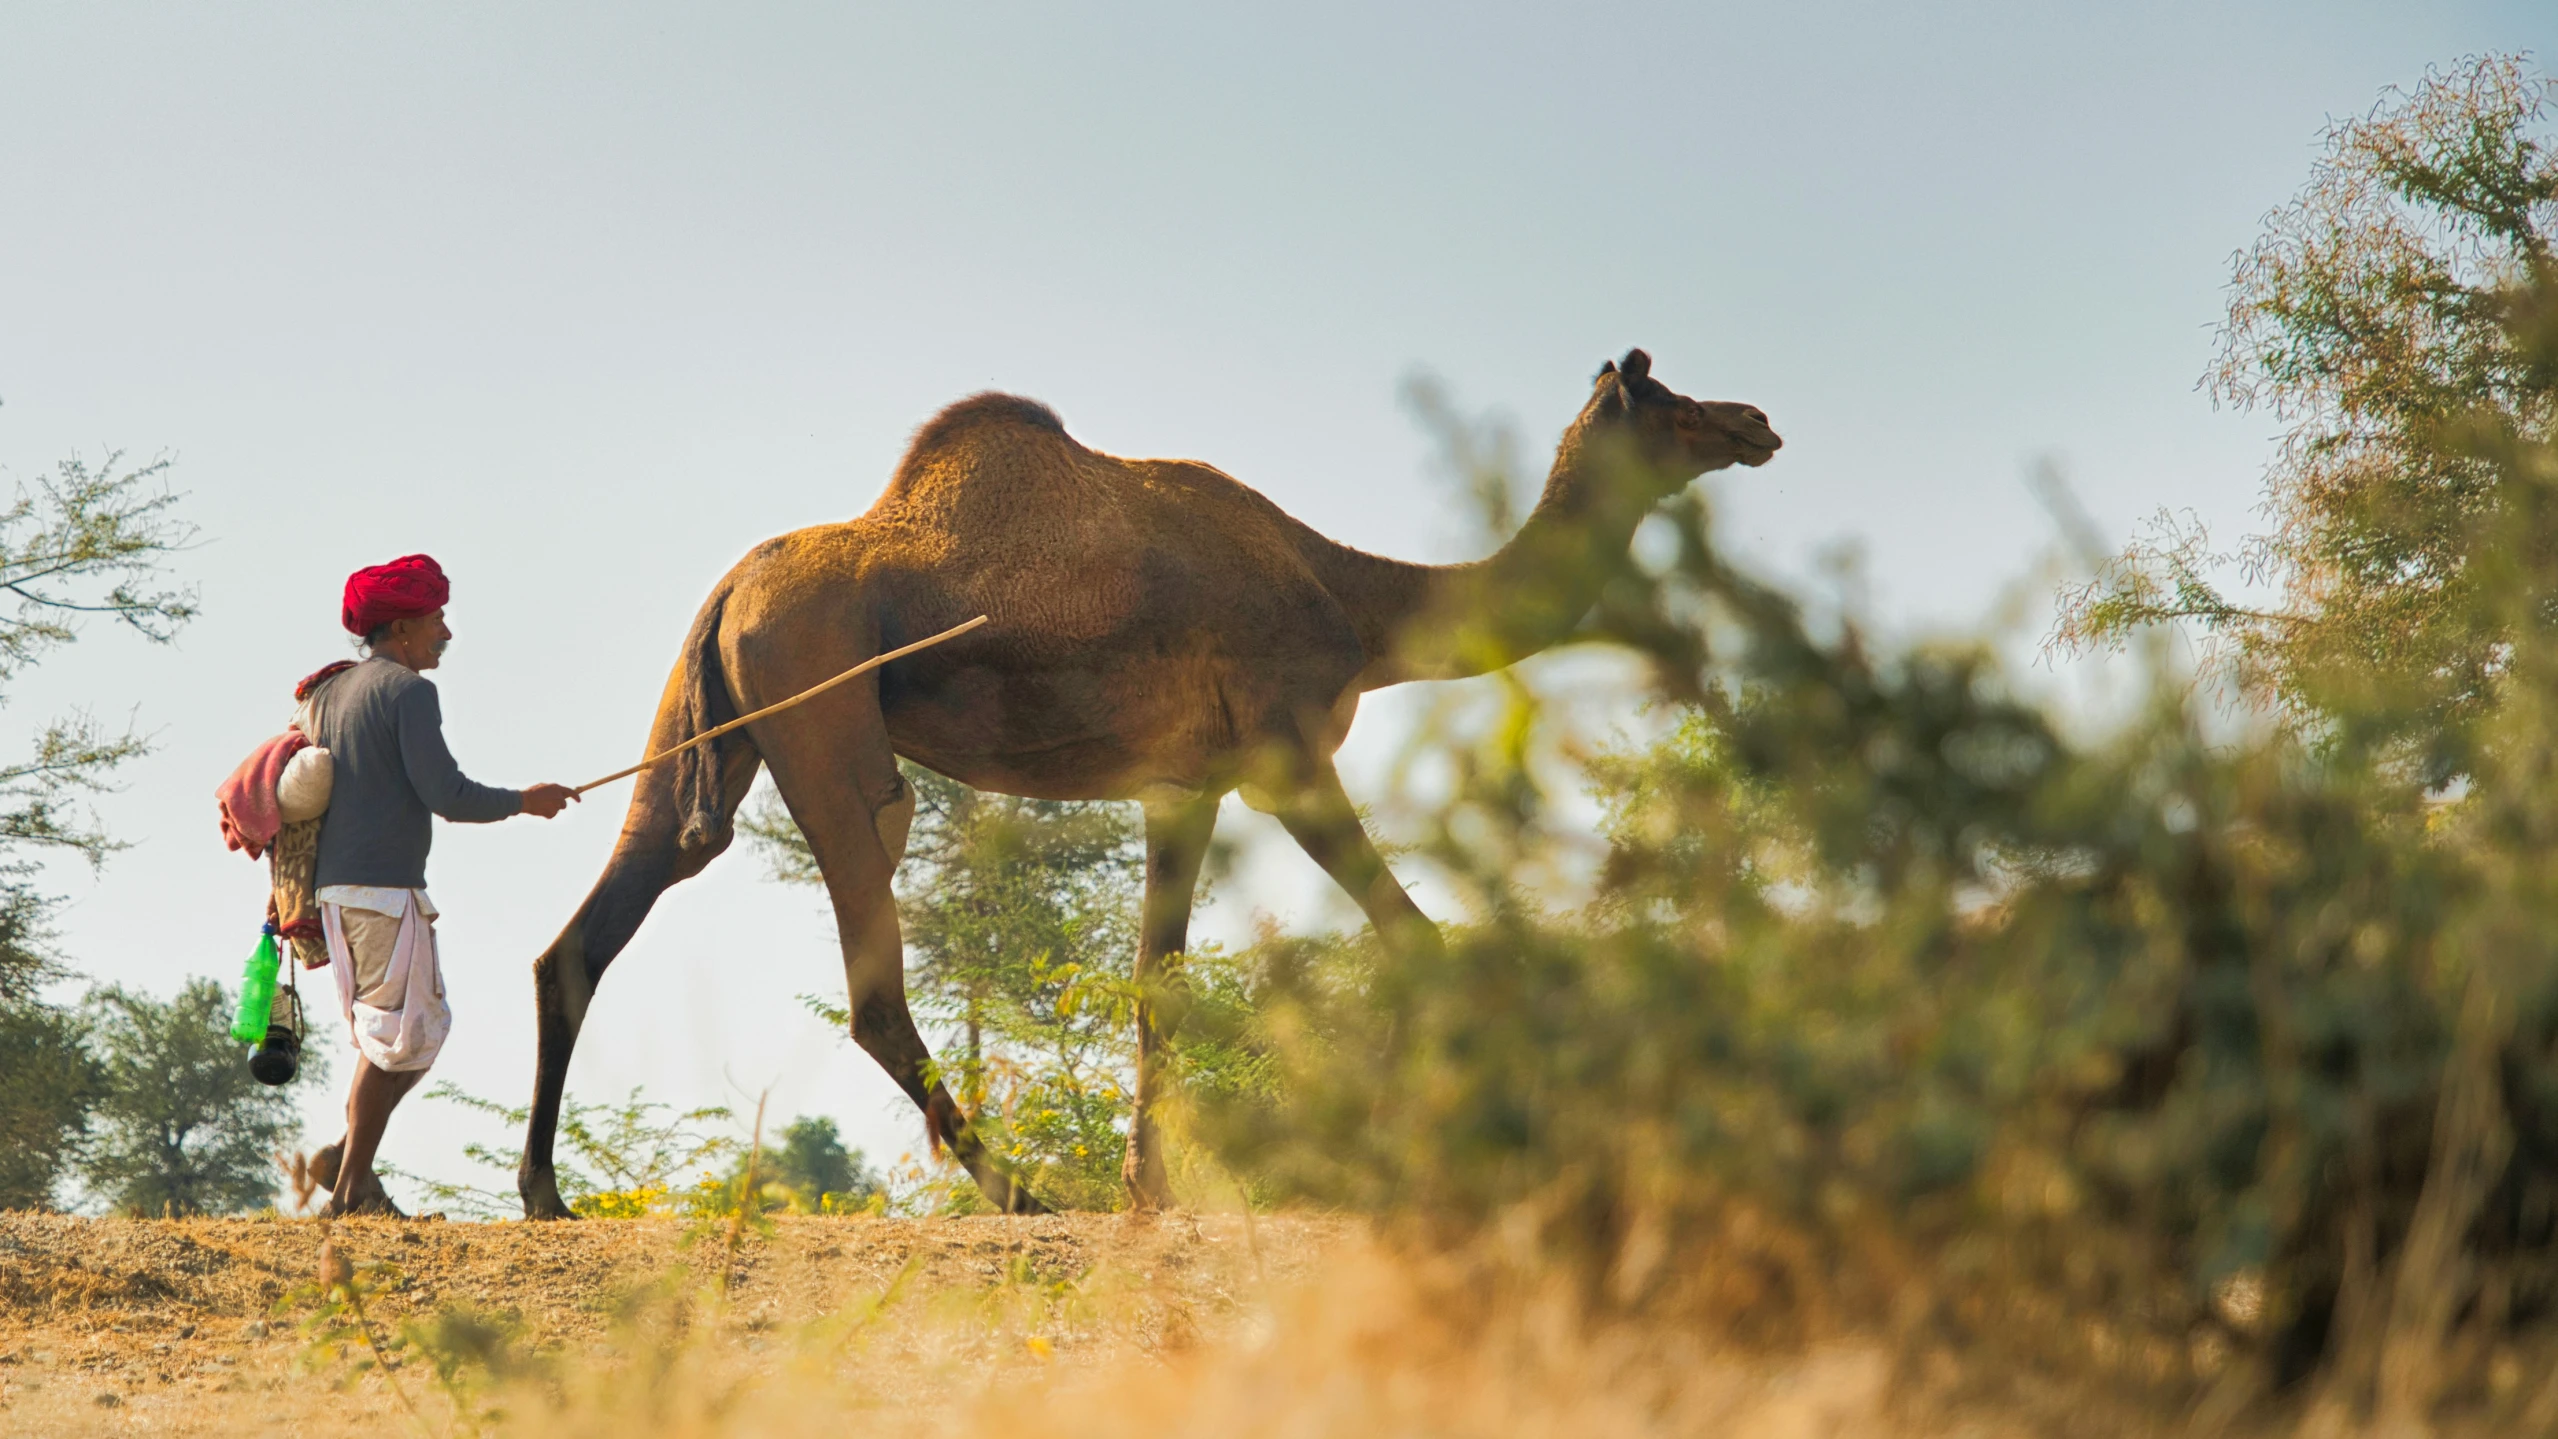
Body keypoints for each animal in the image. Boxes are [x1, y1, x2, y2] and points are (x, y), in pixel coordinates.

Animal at [519, 352, 1780, 1216]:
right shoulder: (1285, 756)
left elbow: (1155, 986)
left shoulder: (1183, 785)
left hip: (712, 728)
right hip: (825, 720)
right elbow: (1415, 935)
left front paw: (1151, 1188)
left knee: (603, 917)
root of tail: (729, 590)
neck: (1355, 600)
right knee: (869, 979)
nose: (1757, 421)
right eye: (1669, 400)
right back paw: (1025, 1196)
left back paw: (546, 1194)